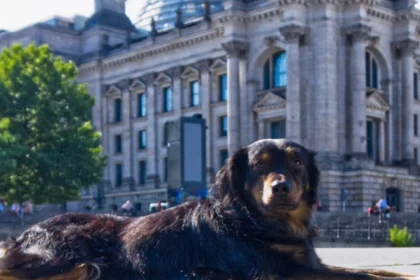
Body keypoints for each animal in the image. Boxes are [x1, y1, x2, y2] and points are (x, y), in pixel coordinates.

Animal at [0, 139, 416, 278]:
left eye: (297, 163)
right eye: (260, 164)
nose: (281, 187)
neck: (256, 223)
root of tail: (25, 233)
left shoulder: (309, 264)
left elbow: (372, 270)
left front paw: (398, 273)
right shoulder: (280, 273)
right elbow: (360, 276)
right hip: (68, 253)